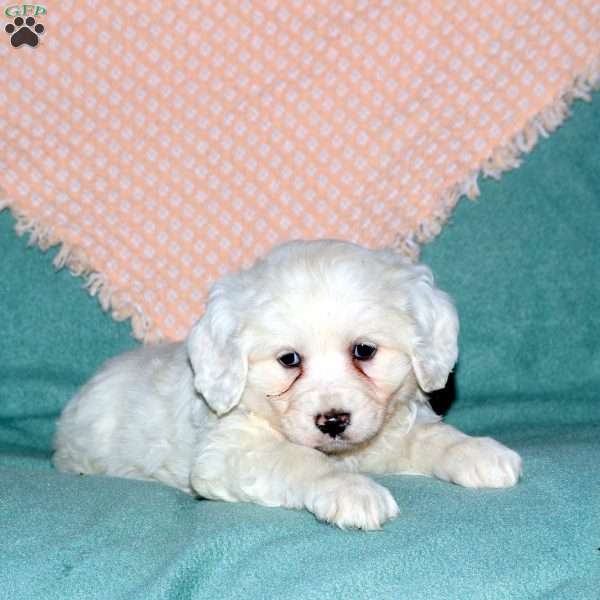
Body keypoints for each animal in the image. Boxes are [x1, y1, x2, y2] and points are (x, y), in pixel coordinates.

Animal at [54, 241, 524, 528]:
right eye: (289, 360)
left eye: (364, 351)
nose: (333, 421)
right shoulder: (229, 452)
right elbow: (301, 460)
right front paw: (352, 491)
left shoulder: (391, 430)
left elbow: (432, 437)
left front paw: (478, 452)